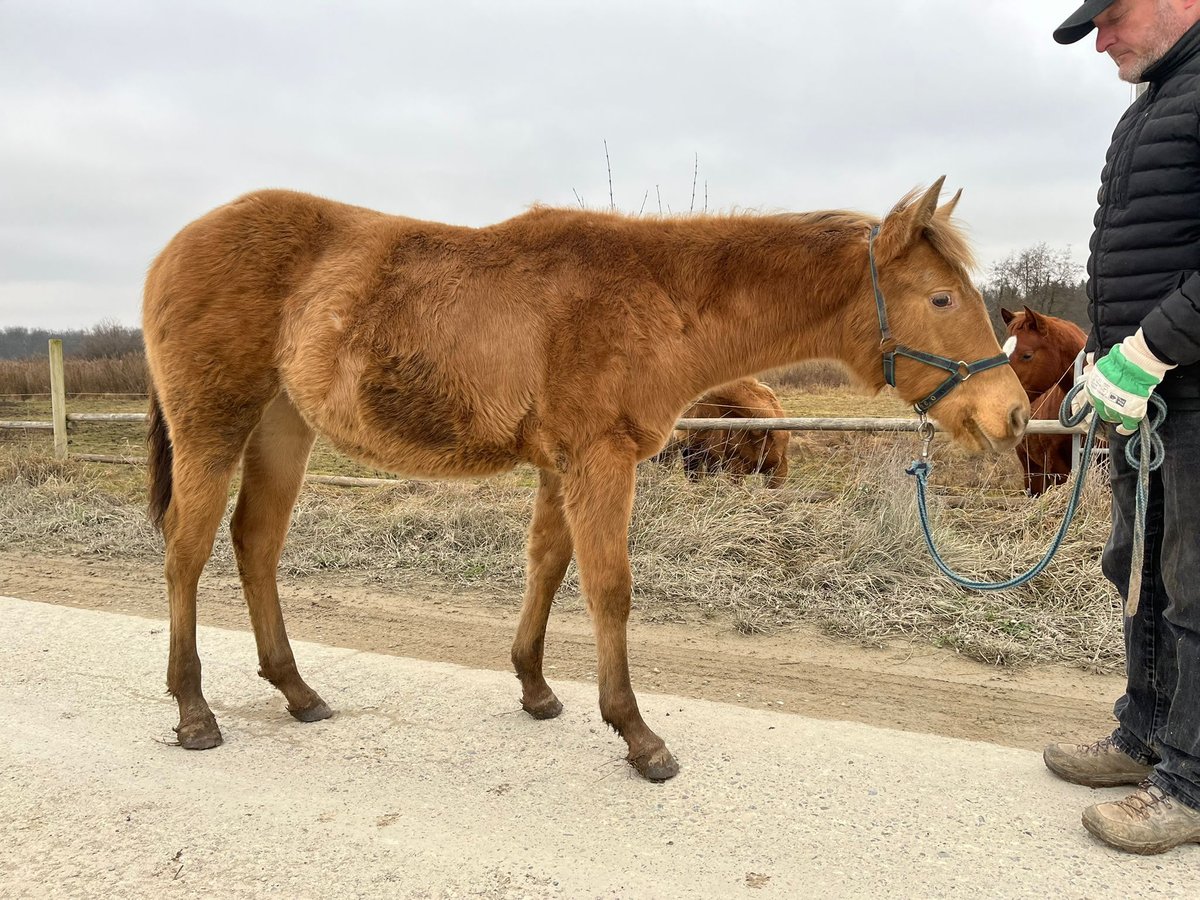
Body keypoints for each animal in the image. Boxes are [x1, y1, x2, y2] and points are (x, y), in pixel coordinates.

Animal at [142, 178, 1028, 781]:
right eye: (941, 297)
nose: (1014, 413)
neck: (657, 299)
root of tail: (172, 247)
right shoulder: (600, 461)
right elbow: (609, 588)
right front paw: (637, 734)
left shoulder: (561, 467)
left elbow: (548, 566)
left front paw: (535, 688)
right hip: (212, 429)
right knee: (185, 551)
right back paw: (194, 710)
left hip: (281, 429)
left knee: (255, 545)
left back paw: (297, 691)